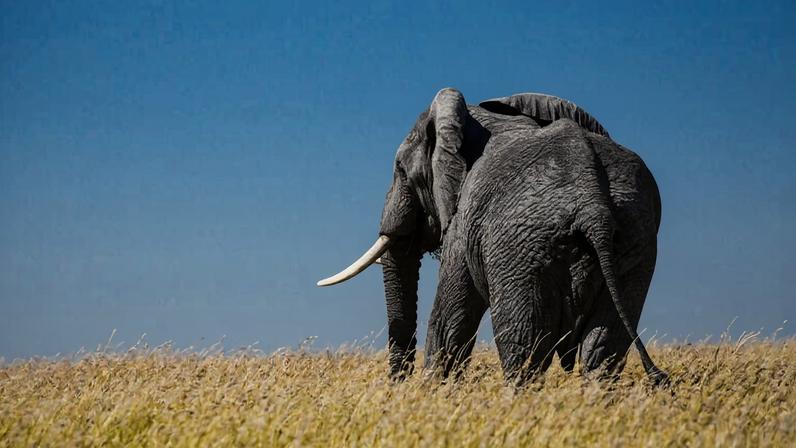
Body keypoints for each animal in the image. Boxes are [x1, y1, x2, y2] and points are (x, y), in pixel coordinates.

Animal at [318, 88, 669, 386]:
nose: (396, 385)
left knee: (523, 345)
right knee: (603, 347)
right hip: (632, 241)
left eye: (401, 171)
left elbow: (448, 318)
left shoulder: (464, 219)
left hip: (521, 249)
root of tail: (592, 203)